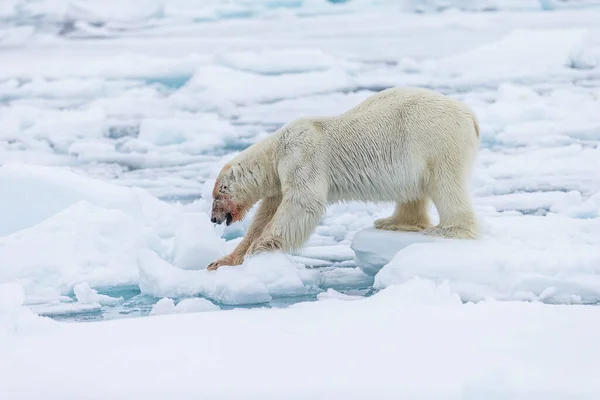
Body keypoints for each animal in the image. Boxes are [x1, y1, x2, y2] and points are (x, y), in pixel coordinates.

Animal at [209, 86, 480, 268]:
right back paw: (393, 222)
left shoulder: (301, 157)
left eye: (217, 195)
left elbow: (302, 203)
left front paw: (258, 250)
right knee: (413, 191)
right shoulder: (279, 178)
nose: (213, 219)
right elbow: (265, 213)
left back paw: (448, 229)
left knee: (445, 184)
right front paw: (224, 260)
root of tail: (470, 114)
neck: (276, 151)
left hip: (434, 139)